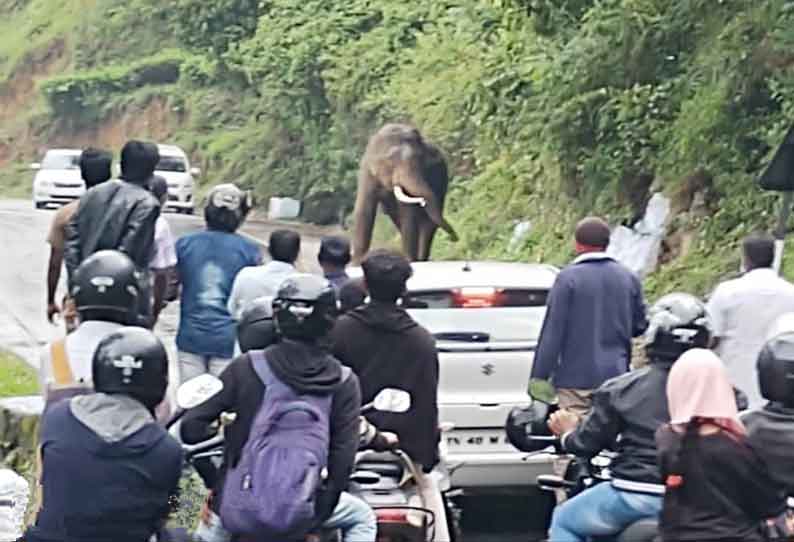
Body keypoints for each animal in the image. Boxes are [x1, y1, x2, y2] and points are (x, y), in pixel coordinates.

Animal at [350, 123, 454, 264]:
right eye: (391, 162)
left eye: (420, 161)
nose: (455, 238)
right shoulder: (367, 172)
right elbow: (364, 210)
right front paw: (357, 262)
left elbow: (408, 212)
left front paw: (409, 260)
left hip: (442, 180)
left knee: (428, 223)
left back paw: (420, 260)